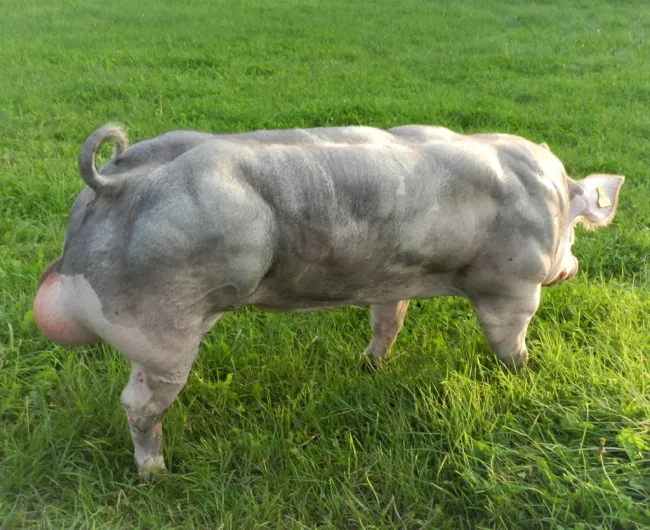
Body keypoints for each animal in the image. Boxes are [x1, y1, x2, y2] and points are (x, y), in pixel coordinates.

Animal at [34, 123, 624, 477]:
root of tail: (114, 181)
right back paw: (154, 473)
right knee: (138, 405)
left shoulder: (393, 281)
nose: (572, 269)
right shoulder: (513, 284)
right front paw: (525, 372)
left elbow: (388, 321)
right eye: (575, 227)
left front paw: (370, 367)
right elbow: (508, 339)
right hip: (164, 329)